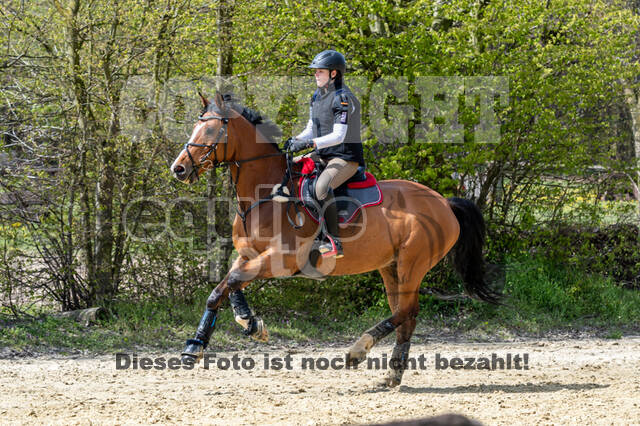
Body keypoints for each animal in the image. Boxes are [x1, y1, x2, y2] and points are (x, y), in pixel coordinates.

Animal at [170, 92, 500, 386]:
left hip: (412, 263)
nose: (178, 169)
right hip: (390, 266)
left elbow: (229, 283)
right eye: (196, 126)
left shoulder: (281, 260)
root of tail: (444, 203)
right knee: (406, 315)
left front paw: (211, 339)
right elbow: (228, 287)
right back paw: (392, 375)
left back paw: (358, 351)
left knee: (407, 310)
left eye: (211, 130)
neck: (266, 195)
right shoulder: (248, 255)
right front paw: (239, 327)